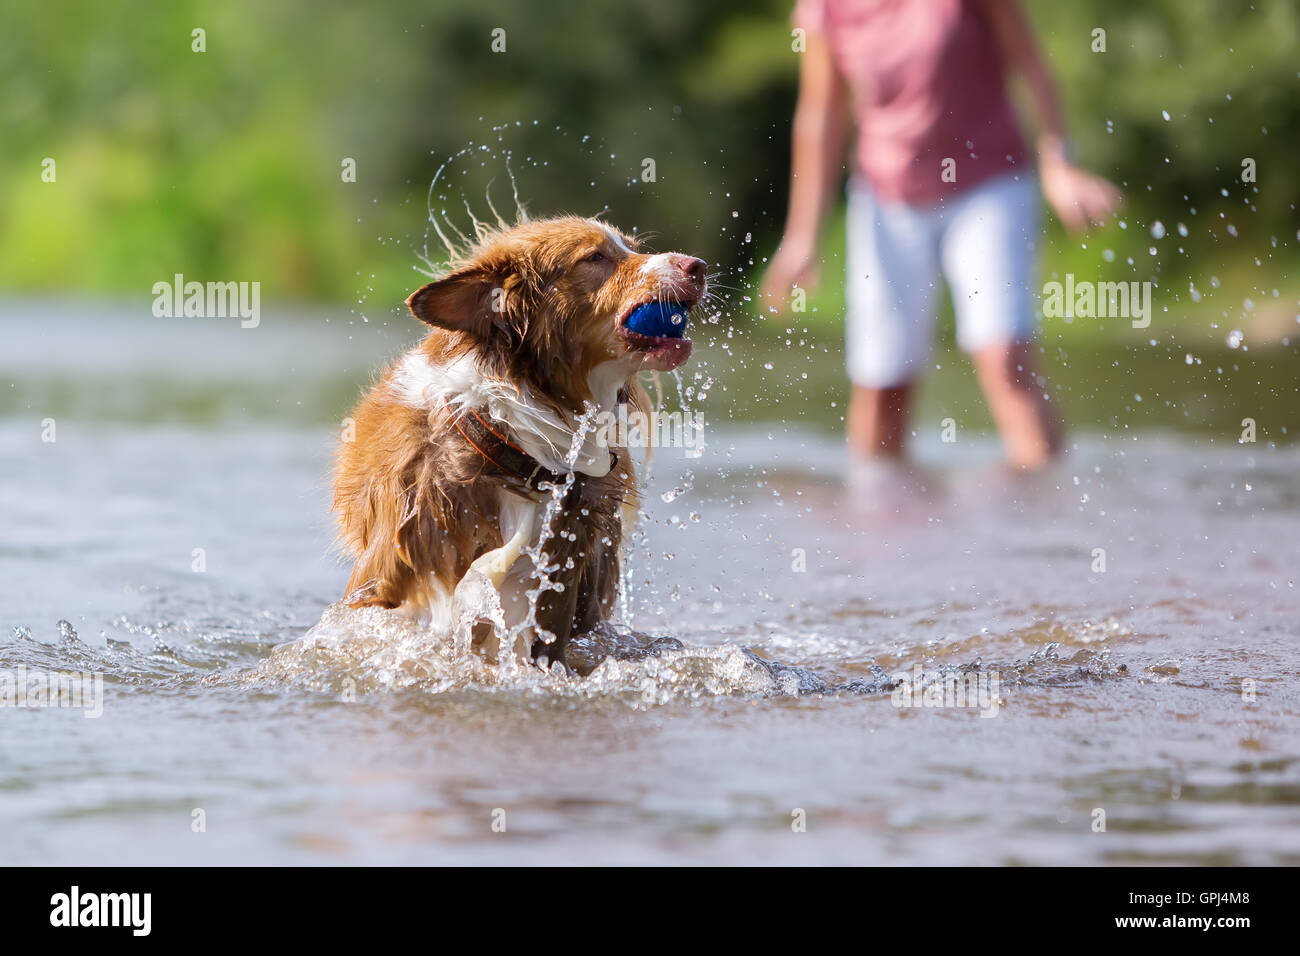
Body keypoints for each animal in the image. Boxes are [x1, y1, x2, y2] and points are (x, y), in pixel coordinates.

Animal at [330, 215, 707, 671]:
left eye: (633, 247)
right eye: (594, 257)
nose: (698, 266)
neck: (516, 446)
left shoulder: (558, 579)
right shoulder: (385, 582)